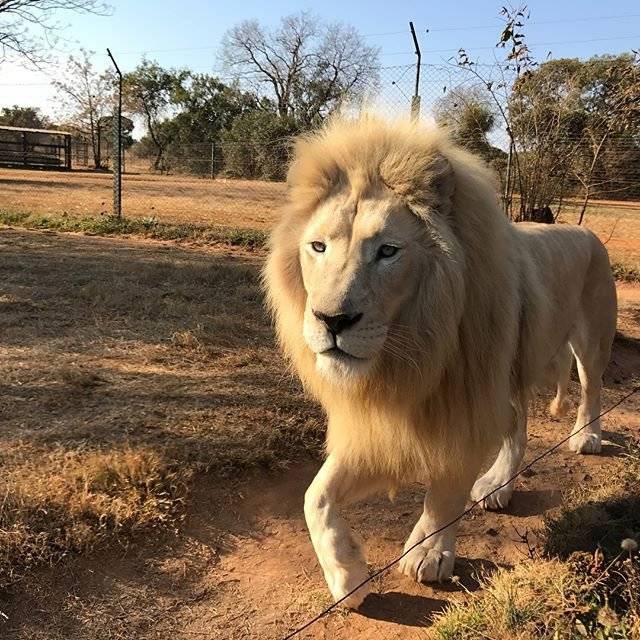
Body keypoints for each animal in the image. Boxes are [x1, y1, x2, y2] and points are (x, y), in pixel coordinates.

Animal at [262, 116, 616, 608]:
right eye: (317, 247)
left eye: (388, 251)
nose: (332, 320)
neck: (411, 350)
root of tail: (584, 232)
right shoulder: (384, 423)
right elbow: (315, 496)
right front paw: (347, 574)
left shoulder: (465, 401)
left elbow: (447, 488)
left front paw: (427, 552)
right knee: (518, 426)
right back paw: (499, 483)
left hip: (590, 338)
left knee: (592, 388)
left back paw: (586, 437)